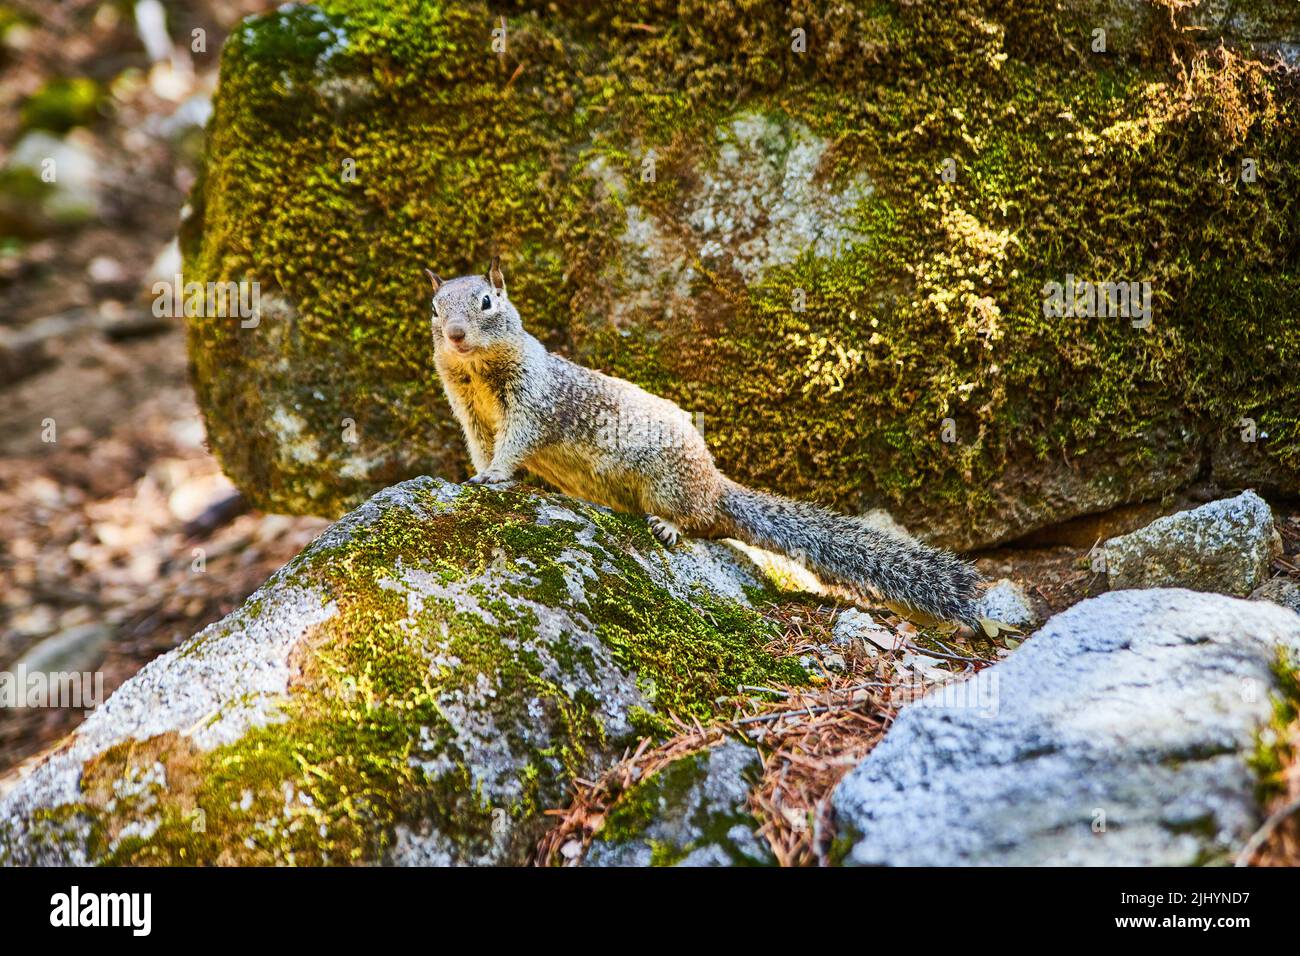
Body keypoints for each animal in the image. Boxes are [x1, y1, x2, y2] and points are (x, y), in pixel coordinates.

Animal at [426, 257, 982, 625]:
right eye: (434, 307)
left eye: (486, 302)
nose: (454, 334)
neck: (477, 373)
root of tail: (716, 483)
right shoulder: (469, 412)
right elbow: (480, 445)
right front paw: (474, 474)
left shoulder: (533, 401)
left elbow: (516, 441)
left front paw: (496, 476)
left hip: (668, 482)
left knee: (694, 520)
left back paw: (668, 526)